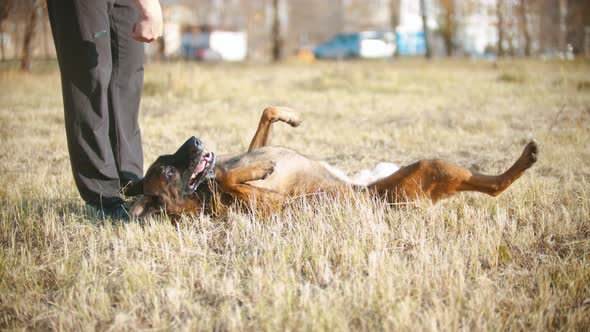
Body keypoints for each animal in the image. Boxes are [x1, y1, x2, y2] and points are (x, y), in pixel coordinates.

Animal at [126, 107, 540, 220]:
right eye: (168, 172)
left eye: (165, 158)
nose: (196, 141)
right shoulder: (271, 204)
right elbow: (229, 178)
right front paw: (256, 171)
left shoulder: (252, 145)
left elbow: (266, 115)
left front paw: (290, 116)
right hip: (429, 167)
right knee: (494, 186)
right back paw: (526, 157)